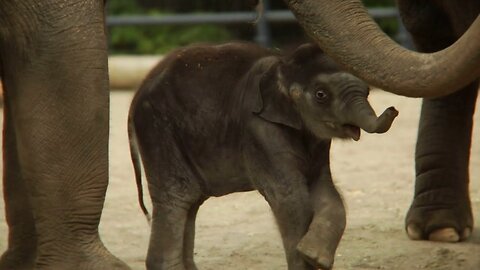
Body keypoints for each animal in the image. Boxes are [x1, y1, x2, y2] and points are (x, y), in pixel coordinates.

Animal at [128, 42, 398, 270]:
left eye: (368, 91)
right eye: (321, 95)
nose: (393, 109)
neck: (281, 63)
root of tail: (137, 93)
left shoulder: (317, 142)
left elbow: (325, 190)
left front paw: (314, 256)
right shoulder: (259, 128)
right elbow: (291, 197)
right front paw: (306, 258)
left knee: (191, 203)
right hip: (159, 131)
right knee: (176, 198)